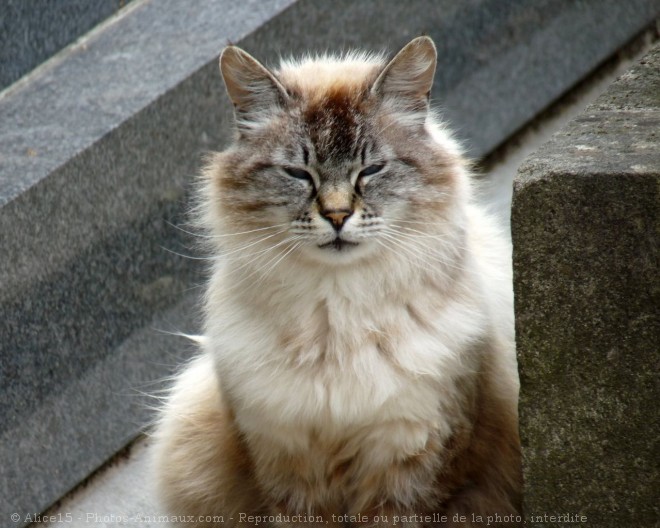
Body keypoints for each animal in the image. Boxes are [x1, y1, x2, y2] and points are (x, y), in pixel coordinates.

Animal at [152, 37, 524, 528]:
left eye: (371, 171)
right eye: (298, 174)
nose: (336, 216)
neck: (335, 317)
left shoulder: (411, 463)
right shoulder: (291, 468)